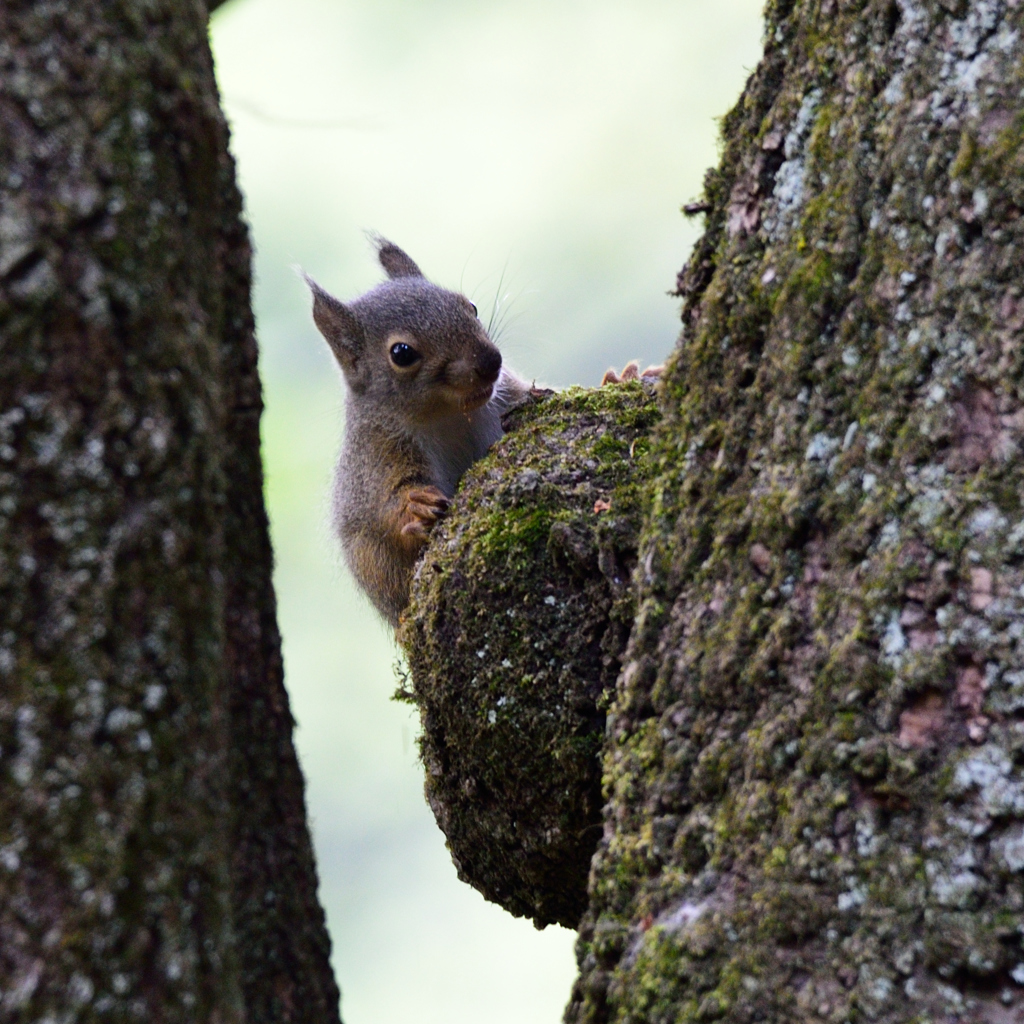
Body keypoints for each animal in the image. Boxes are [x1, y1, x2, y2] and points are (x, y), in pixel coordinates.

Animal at [305, 239, 532, 622]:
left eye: (470, 307)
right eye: (402, 353)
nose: (491, 362)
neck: (449, 417)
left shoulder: (507, 397)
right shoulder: (378, 454)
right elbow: (388, 502)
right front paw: (416, 506)